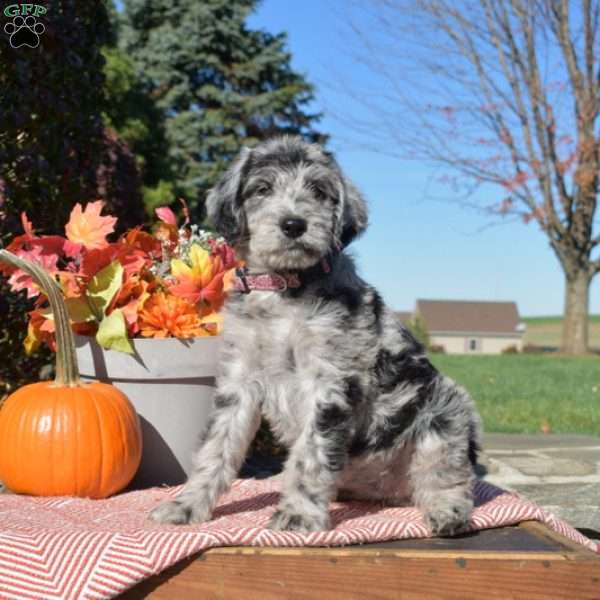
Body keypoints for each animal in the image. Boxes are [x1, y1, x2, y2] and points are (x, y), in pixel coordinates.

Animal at [151, 135, 482, 536]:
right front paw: (188, 504)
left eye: (319, 191)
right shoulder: (240, 378)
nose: (294, 224)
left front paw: (298, 513)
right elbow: (216, 446)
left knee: (447, 476)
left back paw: (447, 514)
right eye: (262, 189)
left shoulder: (329, 380)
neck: (283, 291)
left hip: (446, 416)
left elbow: (311, 453)